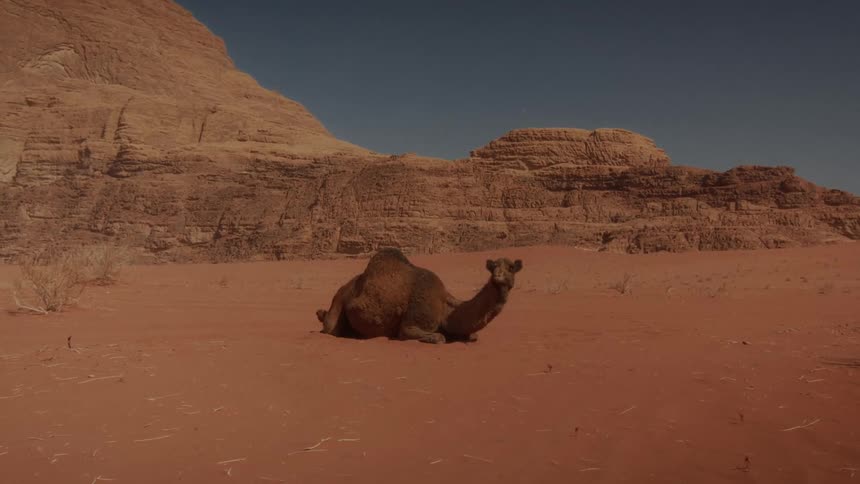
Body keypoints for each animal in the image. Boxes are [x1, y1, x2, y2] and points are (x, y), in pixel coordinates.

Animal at [316, 248, 522, 344]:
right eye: (493, 267)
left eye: (511, 268)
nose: (498, 277)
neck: (445, 306)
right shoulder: (412, 324)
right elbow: (438, 337)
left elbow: (473, 336)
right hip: (338, 301)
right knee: (330, 328)